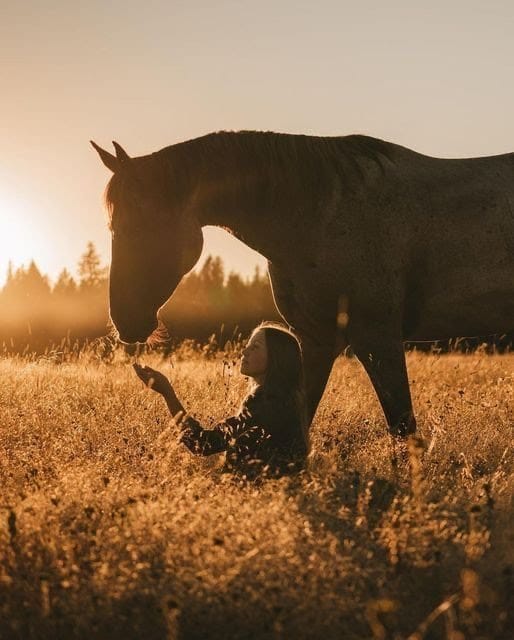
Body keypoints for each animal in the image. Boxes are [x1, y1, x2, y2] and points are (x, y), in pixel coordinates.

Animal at [92, 131, 514, 436]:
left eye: (142, 225)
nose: (125, 320)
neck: (322, 214)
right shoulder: (315, 339)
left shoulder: (377, 338)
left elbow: (402, 426)